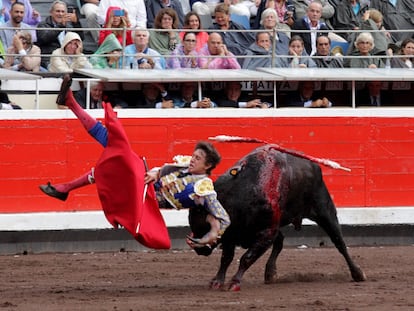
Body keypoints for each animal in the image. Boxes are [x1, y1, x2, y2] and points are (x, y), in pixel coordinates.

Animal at [188, 144, 366, 292]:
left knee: (339, 242)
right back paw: (270, 273)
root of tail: (313, 165)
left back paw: (357, 273)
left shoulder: (266, 232)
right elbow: (226, 258)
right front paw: (217, 281)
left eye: (205, 226)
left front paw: (235, 283)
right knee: (280, 241)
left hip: (324, 210)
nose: (199, 249)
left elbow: (246, 258)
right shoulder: (233, 234)